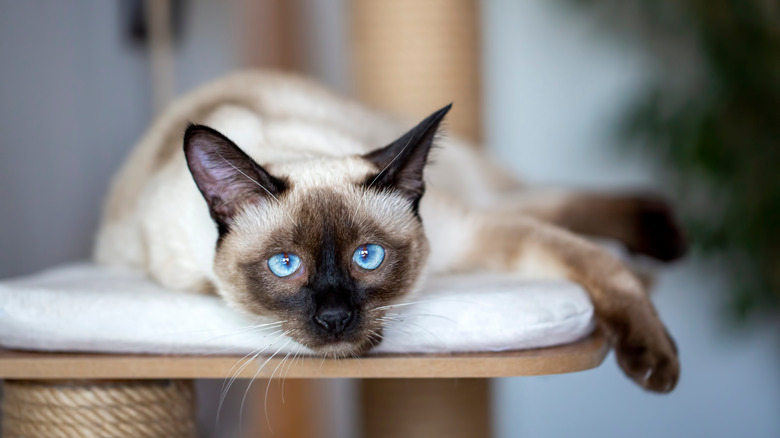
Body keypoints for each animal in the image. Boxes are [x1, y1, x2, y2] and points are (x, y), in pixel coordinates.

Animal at [94, 70, 684, 392]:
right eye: (285, 265)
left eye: (368, 257)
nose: (334, 318)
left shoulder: (475, 232)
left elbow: (600, 264)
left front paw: (658, 366)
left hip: (480, 195)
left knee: (556, 203)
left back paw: (667, 243)